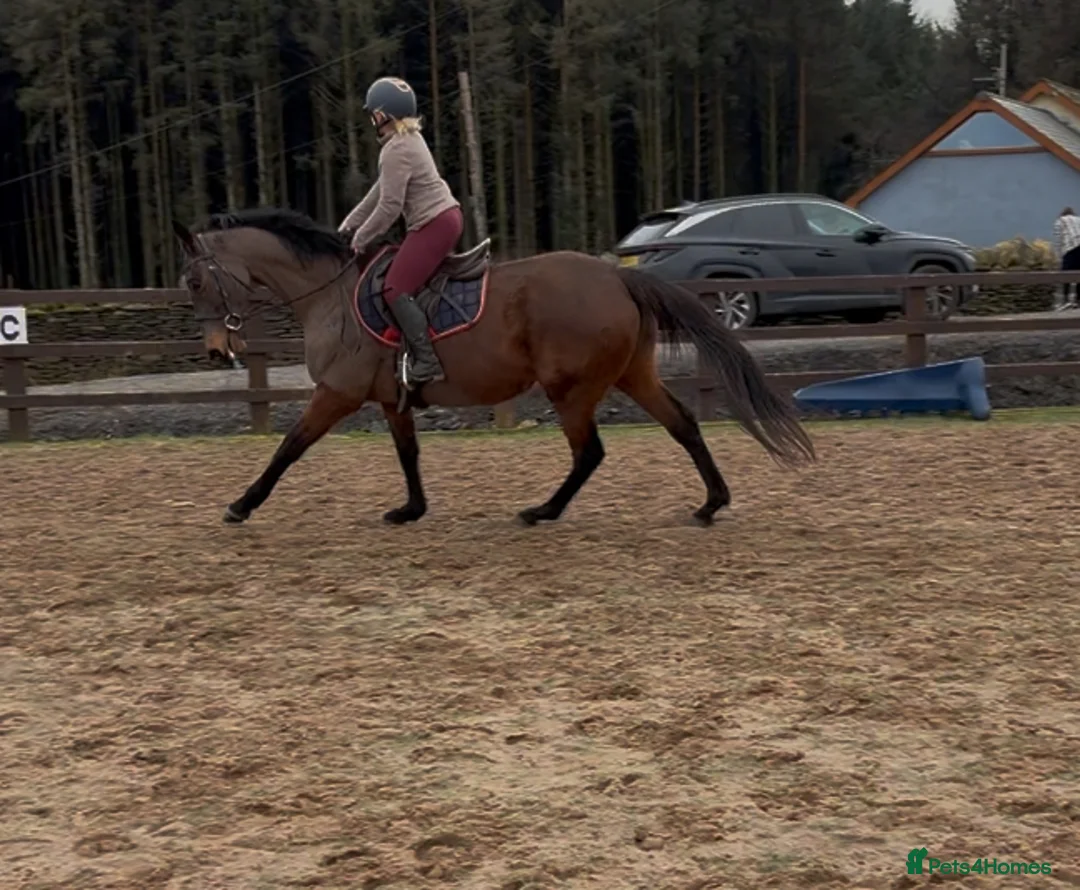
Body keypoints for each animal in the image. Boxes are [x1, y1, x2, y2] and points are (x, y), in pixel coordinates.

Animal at [171, 207, 815, 527]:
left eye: (196, 281)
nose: (216, 350)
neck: (329, 295)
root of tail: (617, 276)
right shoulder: (389, 398)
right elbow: (408, 453)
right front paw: (411, 510)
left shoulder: (337, 392)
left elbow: (288, 448)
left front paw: (241, 504)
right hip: (632, 375)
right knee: (682, 423)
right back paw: (711, 504)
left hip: (571, 389)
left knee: (590, 452)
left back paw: (543, 511)